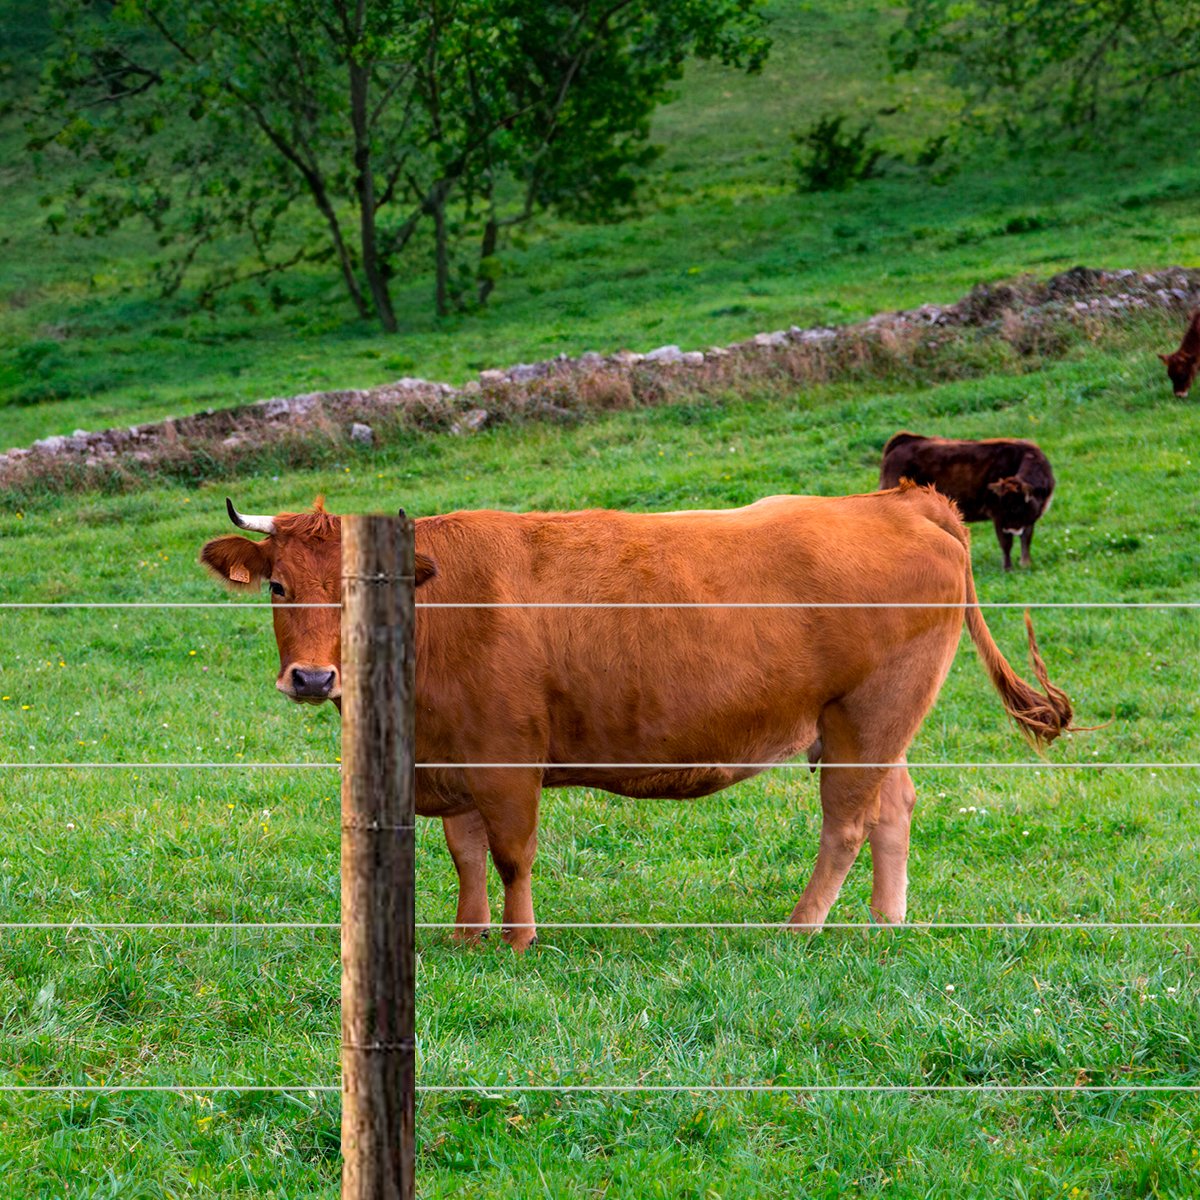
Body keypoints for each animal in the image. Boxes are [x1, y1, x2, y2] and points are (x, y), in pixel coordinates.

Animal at [201, 484, 1075, 945]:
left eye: (358, 587)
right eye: (279, 586)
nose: (313, 676)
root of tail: (896, 501)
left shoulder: (507, 758)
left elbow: (512, 854)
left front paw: (516, 941)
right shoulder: (453, 760)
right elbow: (466, 854)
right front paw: (467, 937)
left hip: (868, 716)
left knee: (849, 822)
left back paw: (800, 927)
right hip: (871, 727)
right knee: (894, 808)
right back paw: (884, 923)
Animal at [878, 434, 1056, 573]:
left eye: (1016, 506)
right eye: (1003, 504)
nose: (1010, 528)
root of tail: (905, 440)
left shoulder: (1029, 520)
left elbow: (1026, 538)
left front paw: (1026, 563)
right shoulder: (997, 516)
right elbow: (1006, 543)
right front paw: (1008, 568)